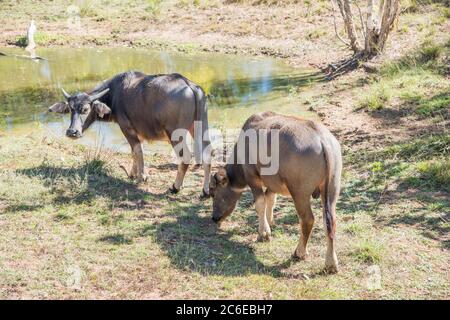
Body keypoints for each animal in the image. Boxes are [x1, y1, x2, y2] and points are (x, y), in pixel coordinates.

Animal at [48, 71, 214, 196]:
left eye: (85, 109)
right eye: (71, 109)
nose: (72, 132)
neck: (115, 94)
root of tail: (190, 85)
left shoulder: (127, 128)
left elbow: (137, 151)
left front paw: (141, 177)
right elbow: (134, 152)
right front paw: (133, 173)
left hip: (175, 133)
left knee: (185, 157)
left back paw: (175, 187)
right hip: (200, 126)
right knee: (207, 151)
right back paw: (205, 190)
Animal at [209, 111, 342, 272]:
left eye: (213, 193)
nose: (214, 218)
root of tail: (322, 139)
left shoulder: (252, 177)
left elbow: (260, 203)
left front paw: (264, 233)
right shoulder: (273, 184)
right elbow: (270, 199)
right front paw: (269, 222)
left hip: (300, 193)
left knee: (307, 220)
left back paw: (299, 252)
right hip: (332, 189)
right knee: (329, 221)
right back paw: (331, 262)